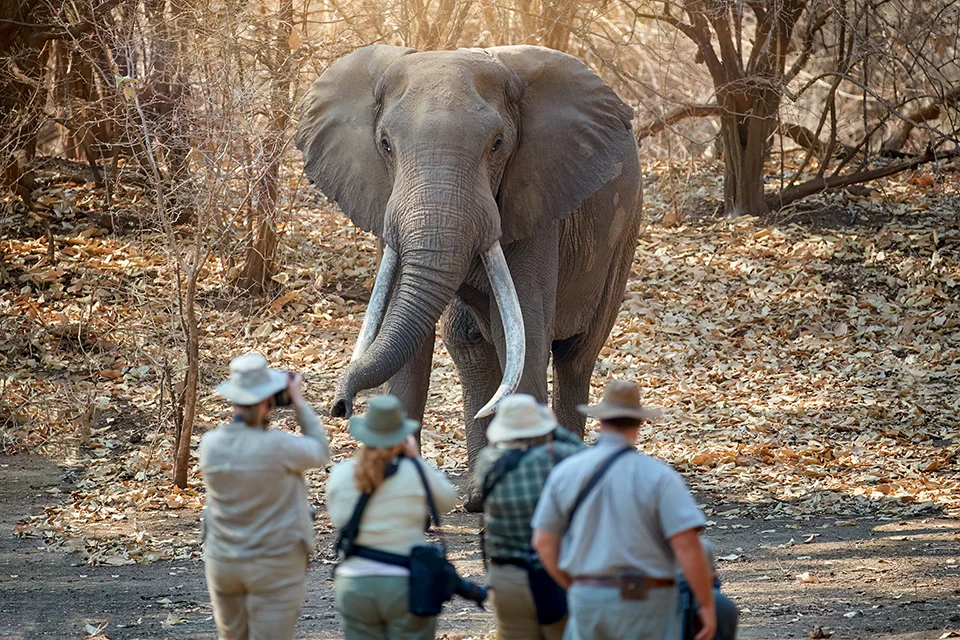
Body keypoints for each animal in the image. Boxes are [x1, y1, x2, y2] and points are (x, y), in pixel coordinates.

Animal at [294, 44, 643, 509]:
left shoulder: (535, 200)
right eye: (384, 144)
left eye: (497, 144)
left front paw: (522, 503)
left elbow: (525, 335)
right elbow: (410, 346)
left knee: (575, 356)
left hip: (623, 235)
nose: (339, 406)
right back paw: (479, 495)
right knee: (471, 345)